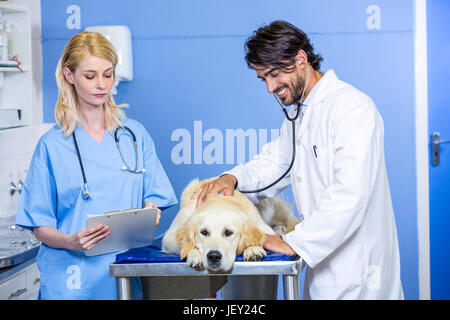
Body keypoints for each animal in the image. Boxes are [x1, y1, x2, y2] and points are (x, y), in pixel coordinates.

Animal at [162, 178, 298, 272]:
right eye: (204, 232)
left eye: (228, 232)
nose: (213, 257)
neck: (218, 200)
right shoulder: (169, 237)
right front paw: (195, 255)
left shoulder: (262, 226)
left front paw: (252, 249)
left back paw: (280, 228)